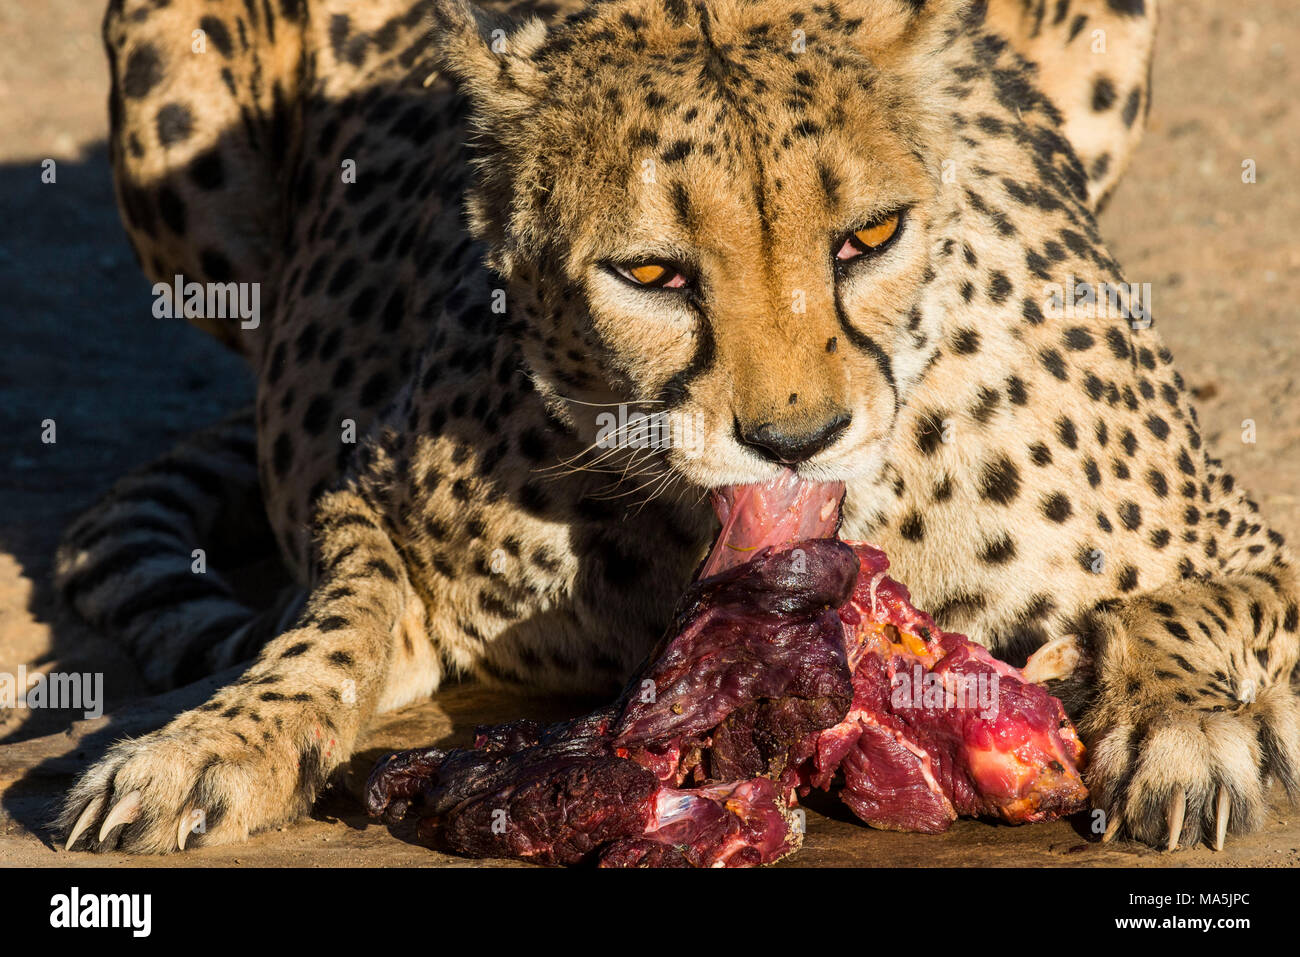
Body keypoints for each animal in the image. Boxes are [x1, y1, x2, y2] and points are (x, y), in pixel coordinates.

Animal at [58, 0, 1300, 858]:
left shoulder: (1247, 542)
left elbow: (1176, 605)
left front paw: (1177, 724)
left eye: (868, 235)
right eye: (650, 274)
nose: (796, 439)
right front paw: (208, 744)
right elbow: (331, 629)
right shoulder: (378, 512)